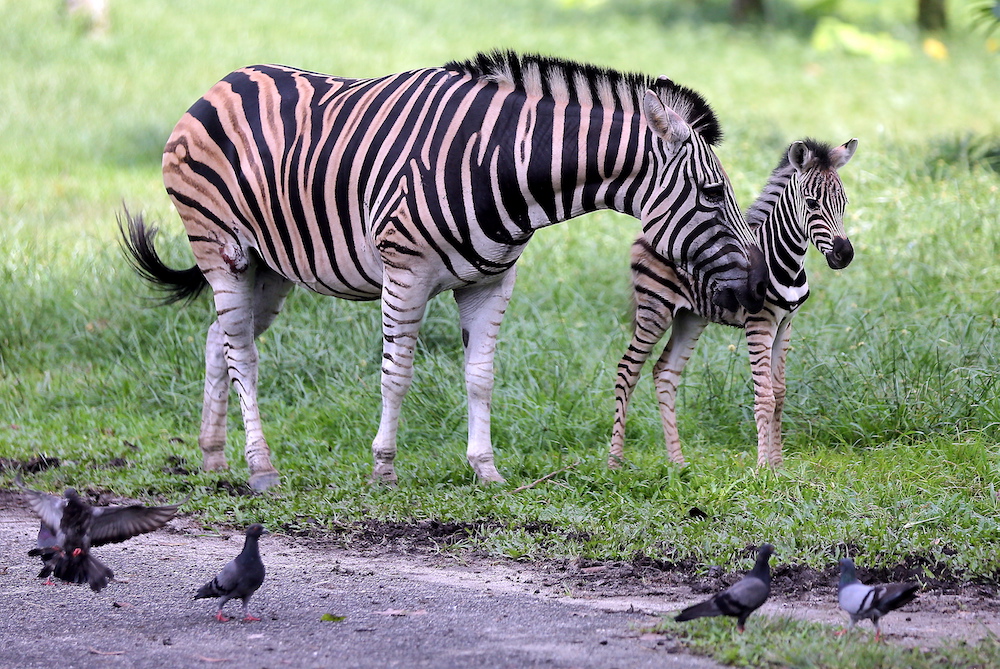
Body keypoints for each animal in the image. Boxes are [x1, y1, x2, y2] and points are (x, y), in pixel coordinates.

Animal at [120, 51, 768, 491]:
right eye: (714, 194)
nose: (757, 288)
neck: (505, 163)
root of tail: (223, 81)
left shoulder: (491, 282)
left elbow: (480, 376)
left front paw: (486, 469)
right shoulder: (405, 272)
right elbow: (397, 373)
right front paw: (383, 469)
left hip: (267, 265)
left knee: (220, 341)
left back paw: (214, 457)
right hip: (219, 246)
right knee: (245, 355)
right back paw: (261, 468)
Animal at [608, 138, 857, 468]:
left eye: (844, 203)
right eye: (812, 203)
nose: (845, 254)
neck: (785, 260)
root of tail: (648, 232)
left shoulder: (785, 324)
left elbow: (780, 393)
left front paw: (779, 466)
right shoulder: (759, 323)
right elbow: (764, 396)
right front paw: (763, 469)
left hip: (690, 317)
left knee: (665, 372)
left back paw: (678, 464)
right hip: (655, 309)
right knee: (627, 370)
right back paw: (614, 463)